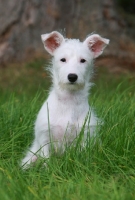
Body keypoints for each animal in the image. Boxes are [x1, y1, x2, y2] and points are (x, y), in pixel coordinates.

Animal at [21, 30, 109, 168]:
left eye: (83, 60)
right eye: (63, 59)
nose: (72, 76)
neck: (69, 100)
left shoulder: (85, 136)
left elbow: (81, 156)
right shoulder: (45, 137)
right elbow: (46, 159)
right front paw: (48, 169)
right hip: (31, 156)